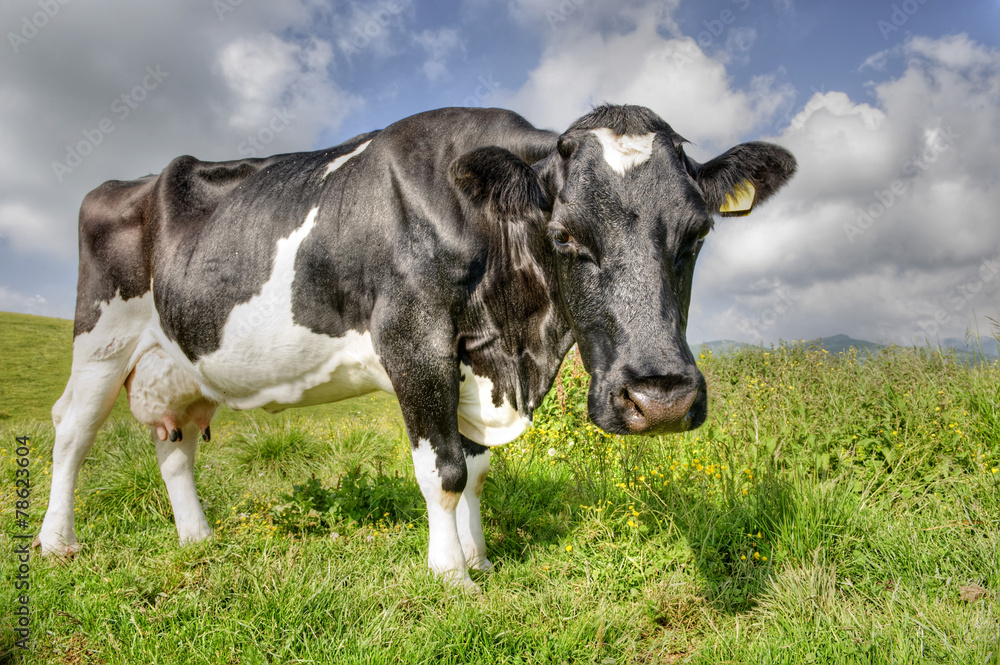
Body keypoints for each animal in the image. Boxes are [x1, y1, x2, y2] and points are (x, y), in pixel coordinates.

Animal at [37, 104, 796, 588]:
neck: (516, 343)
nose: (660, 397)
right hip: (102, 338)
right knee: (72, 430)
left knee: (176, 444)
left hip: (183, 363)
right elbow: (445, 470)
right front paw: (451, 573)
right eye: (565, 234)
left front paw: (480, 557)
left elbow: (478, 467)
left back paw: (198, 537)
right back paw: (55, 541)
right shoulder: (413, 337)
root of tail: (126, 182)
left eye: (697, 233)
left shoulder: (477, 360)